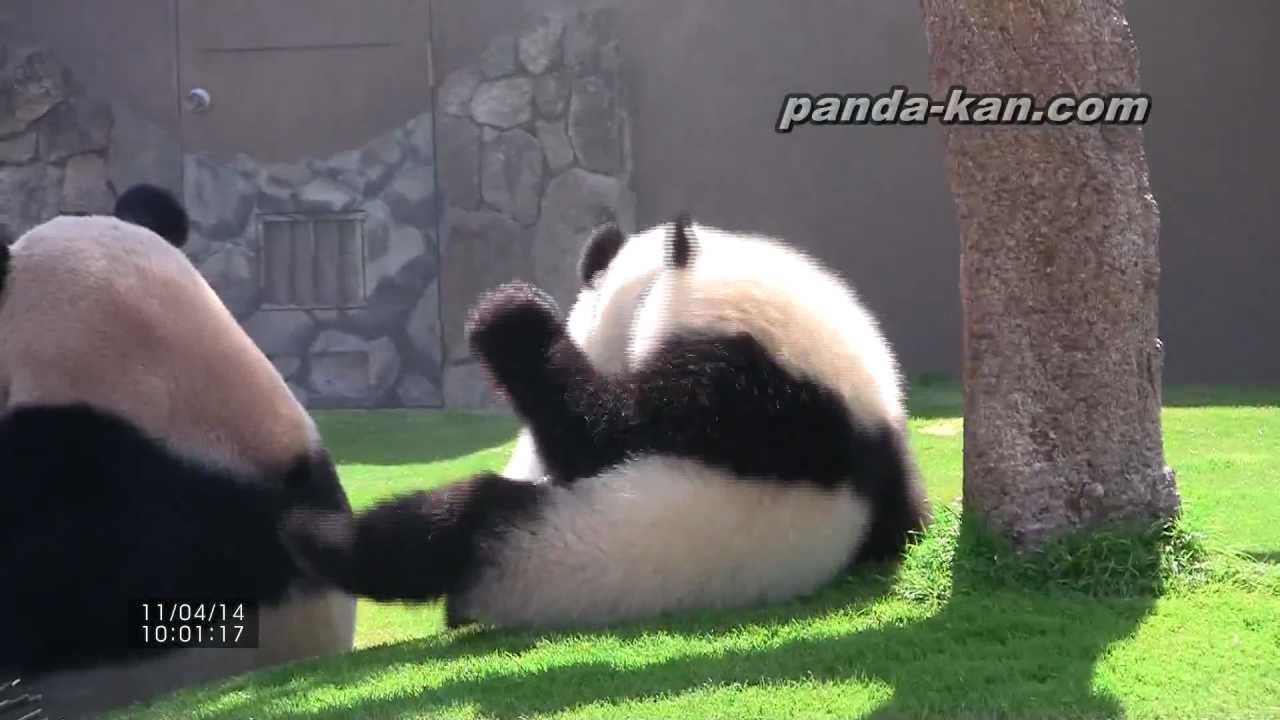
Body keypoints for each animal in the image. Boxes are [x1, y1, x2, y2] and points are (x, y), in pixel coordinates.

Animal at [282, 213, 929, 629]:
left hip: (532, 548)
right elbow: (909, 525)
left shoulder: (746, 398)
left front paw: (511, 317)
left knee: (445, 526)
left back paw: (316, 535)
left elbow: (605, 438)